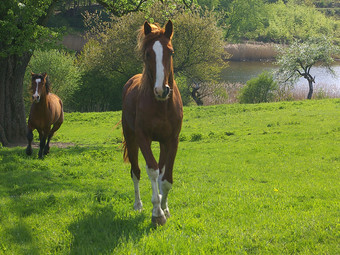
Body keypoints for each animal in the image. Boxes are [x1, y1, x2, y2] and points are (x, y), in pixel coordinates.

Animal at [122, 20, 183, 226]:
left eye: (170, 52)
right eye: (148, 54)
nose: (161, 90)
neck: (161, 105)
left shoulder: (172, 140)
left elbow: (166, 178)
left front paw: (165, 208)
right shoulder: (143, 138)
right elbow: (153, 171)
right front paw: (157, 213)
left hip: (162, 142)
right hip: (131, 139)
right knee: (136, 172)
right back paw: (138, 205)